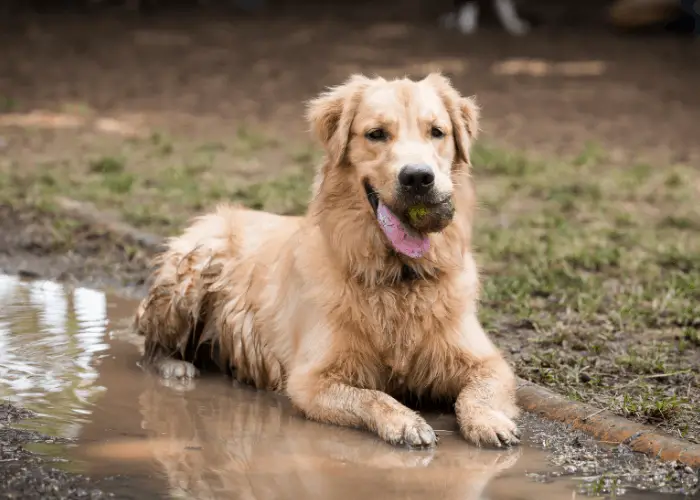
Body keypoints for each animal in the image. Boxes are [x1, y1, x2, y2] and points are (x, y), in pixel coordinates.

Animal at [135, 73, 520, 450]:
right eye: (376, 134)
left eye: (437, 132)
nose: (418, 177)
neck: (398, 276)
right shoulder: (311, 380)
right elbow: (373, 397)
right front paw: (405, 422)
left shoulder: (488, 362)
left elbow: (478, 393)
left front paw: (489, 422)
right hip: (192, 272)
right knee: (150, 346)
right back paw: (176, 368)